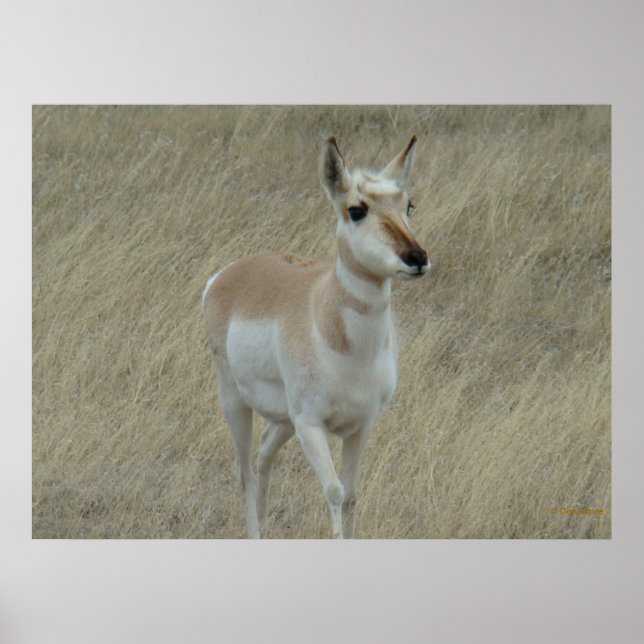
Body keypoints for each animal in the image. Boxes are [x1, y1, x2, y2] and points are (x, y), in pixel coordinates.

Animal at [202, 136, 429, 538]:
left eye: (408, 204)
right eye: (356, 209)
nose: (416, 257)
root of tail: (226, 276)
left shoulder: (361, 425)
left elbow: (352, 494)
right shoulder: (311, 425)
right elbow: (335, 491)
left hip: (283, 420)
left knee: (264, 453)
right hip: (236, 402)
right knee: (245, 473)